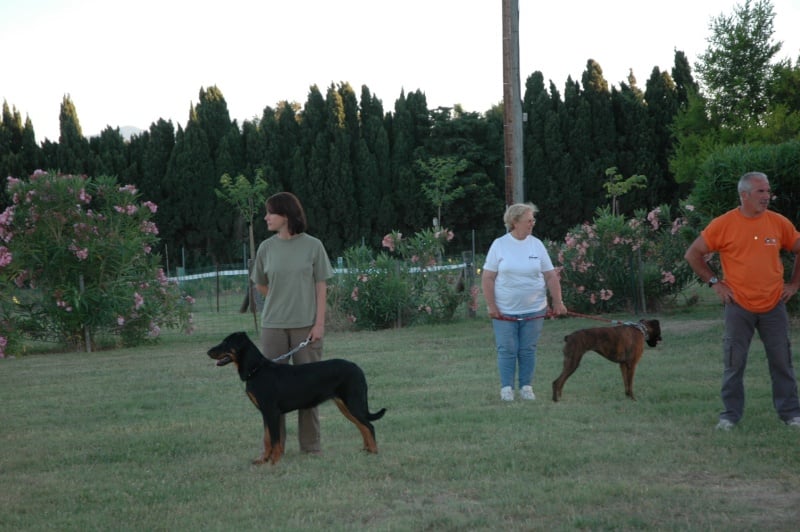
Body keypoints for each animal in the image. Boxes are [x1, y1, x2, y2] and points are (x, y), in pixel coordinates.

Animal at [208, 330, 386, 464]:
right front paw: (264, 460)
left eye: (226, 343)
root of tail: (357, 368)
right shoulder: (265, 413)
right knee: (363, 426)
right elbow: (267, 438)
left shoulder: (272, 412)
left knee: (369, 426)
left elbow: (275, 439)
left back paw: (374, 451)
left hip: (352, 403)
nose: (208, 352)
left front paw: (275, 461)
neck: (256, 370)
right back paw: (366, 450)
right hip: (345, 405)